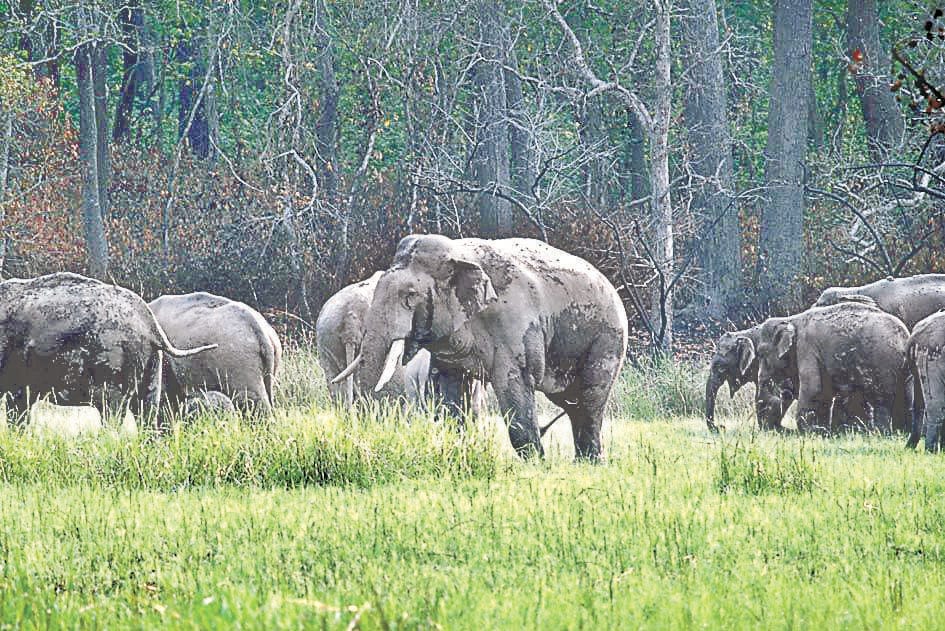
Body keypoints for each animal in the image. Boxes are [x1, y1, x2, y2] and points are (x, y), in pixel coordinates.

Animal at [334, 234, 629, 461]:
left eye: (410, 296)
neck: (458, 254)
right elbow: (449, 391)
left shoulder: (514, 326)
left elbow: (516, 384)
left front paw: (536, 465)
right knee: (571, 401)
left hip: (607, 339)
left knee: (589, 399)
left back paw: (589, 463)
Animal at [749, 300, 909, 434]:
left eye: (761, 353)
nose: (782, 429)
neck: (791, 319)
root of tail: (903, 339)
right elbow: (823, 392)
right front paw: (822, 431)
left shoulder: (806, 348)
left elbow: (813, 388)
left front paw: (808, 432)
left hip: (883, 364)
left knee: (883, 400)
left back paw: (881, 432)